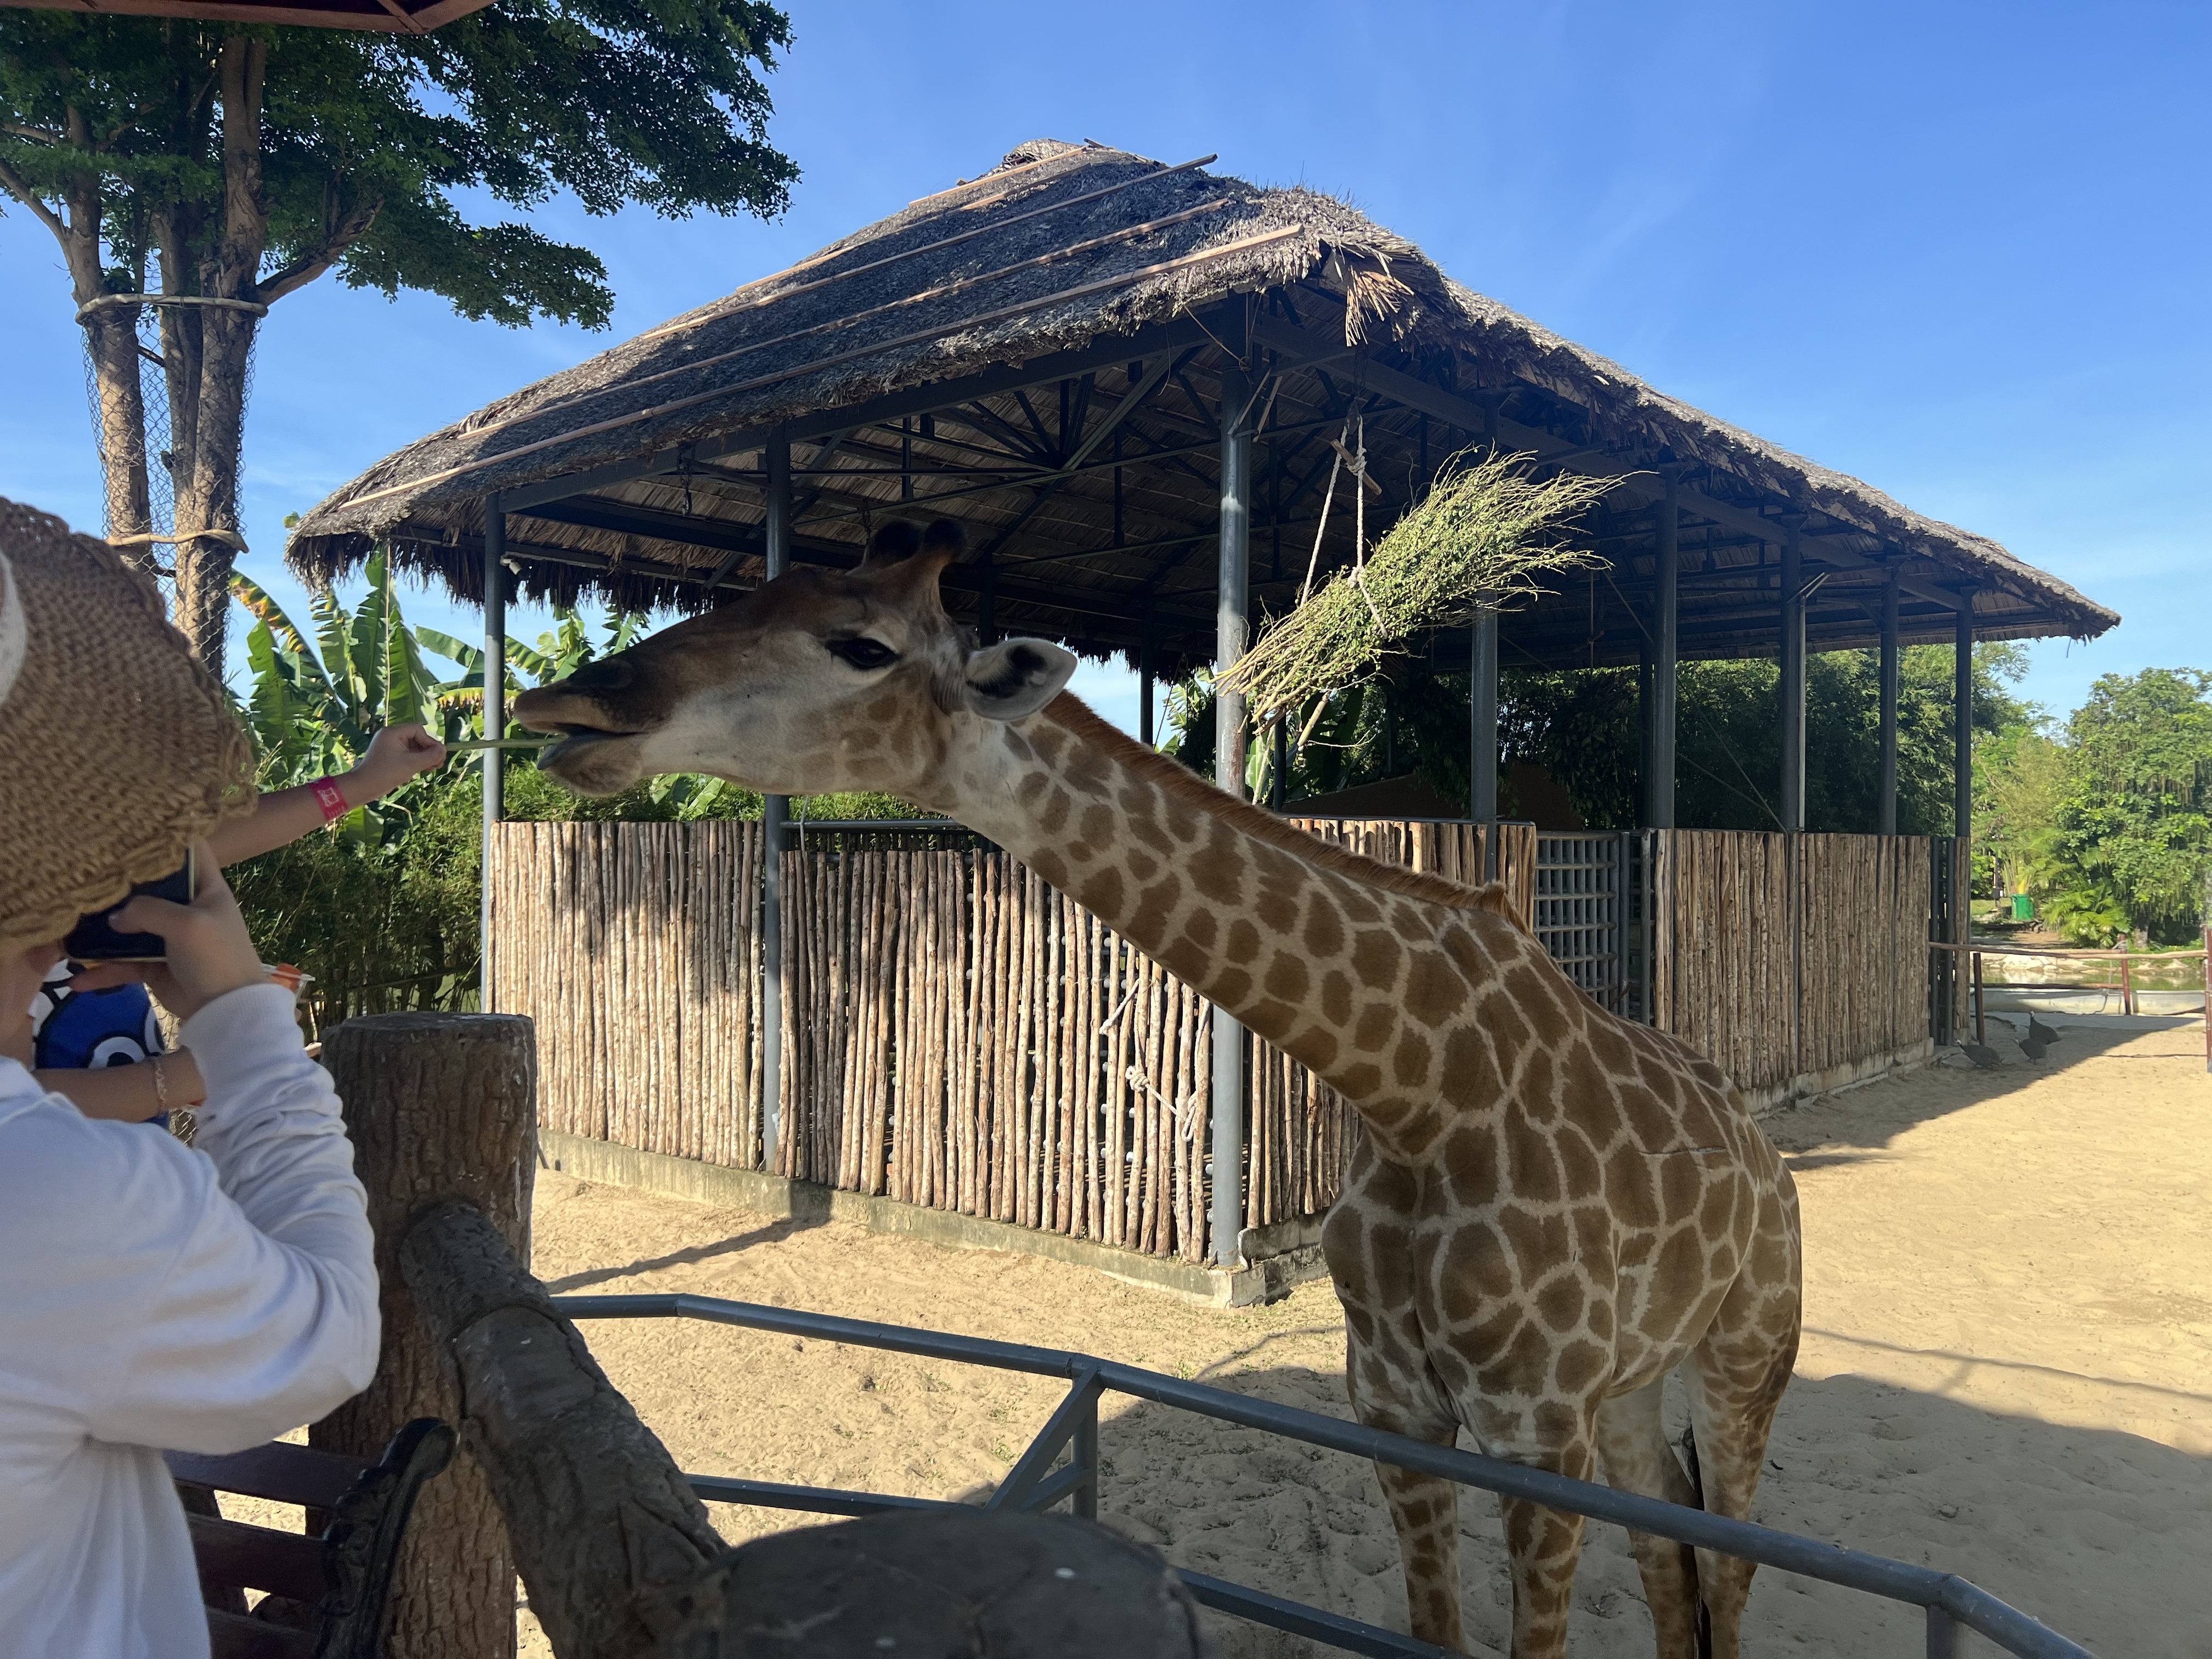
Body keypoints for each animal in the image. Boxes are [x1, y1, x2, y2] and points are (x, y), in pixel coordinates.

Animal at [512, 518, 1803, 1659]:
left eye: (861, 645)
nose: (565, 709)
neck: (1418, 1091)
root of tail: (1767, 1161)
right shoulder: (1395, 1406)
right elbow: (1439, 1627)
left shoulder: (1535, 1429)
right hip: (1631, 1391)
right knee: (1671, 1553)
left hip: (1744, 1354)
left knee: (1730, 1561)